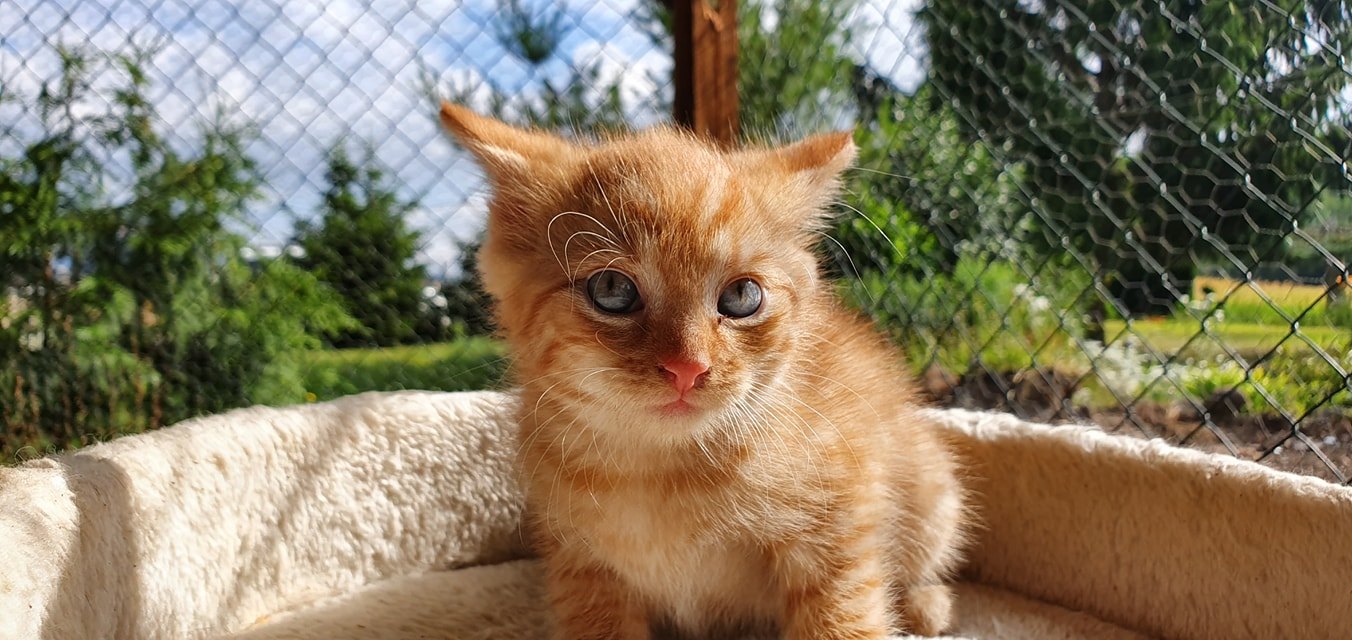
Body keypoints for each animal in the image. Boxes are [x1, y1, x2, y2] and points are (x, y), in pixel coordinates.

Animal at [438, 102, 970, 640]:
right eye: (612, 290)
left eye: (742, 296)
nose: (687, 368)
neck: (663, 472)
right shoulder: (580, 563)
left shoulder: (839, 528)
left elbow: (846, 618)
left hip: (933, 496)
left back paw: (925, 603)